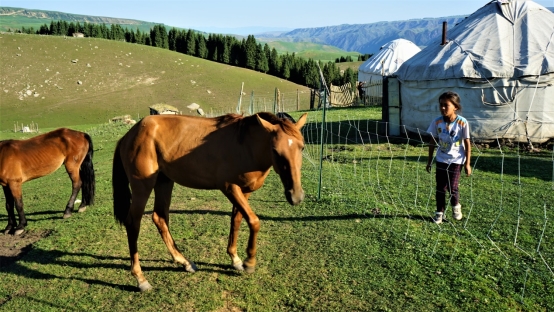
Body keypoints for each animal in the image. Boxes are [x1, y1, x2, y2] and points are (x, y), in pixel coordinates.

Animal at [111, 112, 306, 292]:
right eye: (275, 150)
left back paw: (184, 262)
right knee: (133, 223)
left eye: (302, 148)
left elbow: (237, 220)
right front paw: (249, 262)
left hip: (164, 182)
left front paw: (235, 259)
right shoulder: (229, 188)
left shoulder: (245, 191)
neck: (245, 145)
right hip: (142, 187)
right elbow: (254, 221)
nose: (296, 196)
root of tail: (129, 134)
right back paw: (140, 278)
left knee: (160, 218)